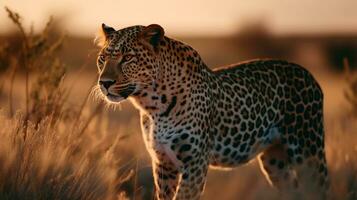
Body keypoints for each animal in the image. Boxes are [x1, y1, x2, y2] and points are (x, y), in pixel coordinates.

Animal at [94, 23, 328, 200]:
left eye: (127, 58)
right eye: (102, 59)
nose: (104, 83)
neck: (152, 106)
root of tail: (310, 76)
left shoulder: (194, 163)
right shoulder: (163, 164)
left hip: (308, 152)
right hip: (275, 161)